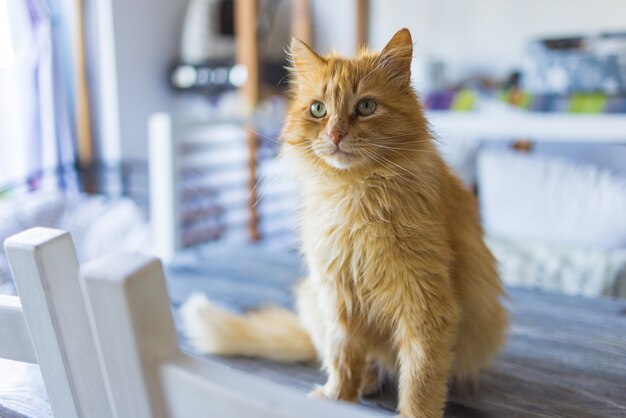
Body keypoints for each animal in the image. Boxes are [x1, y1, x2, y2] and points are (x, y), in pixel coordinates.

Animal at [180, 28, 508, 418]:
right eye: (318, 109)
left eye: (366, 107)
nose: (335, 134)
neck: (354, 197)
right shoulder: (338, 297)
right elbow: (343, 358)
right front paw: (337, 398)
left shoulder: (424, 302)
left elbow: (420, 378)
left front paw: (413, 411)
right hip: (313, 300)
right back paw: (366, 380)